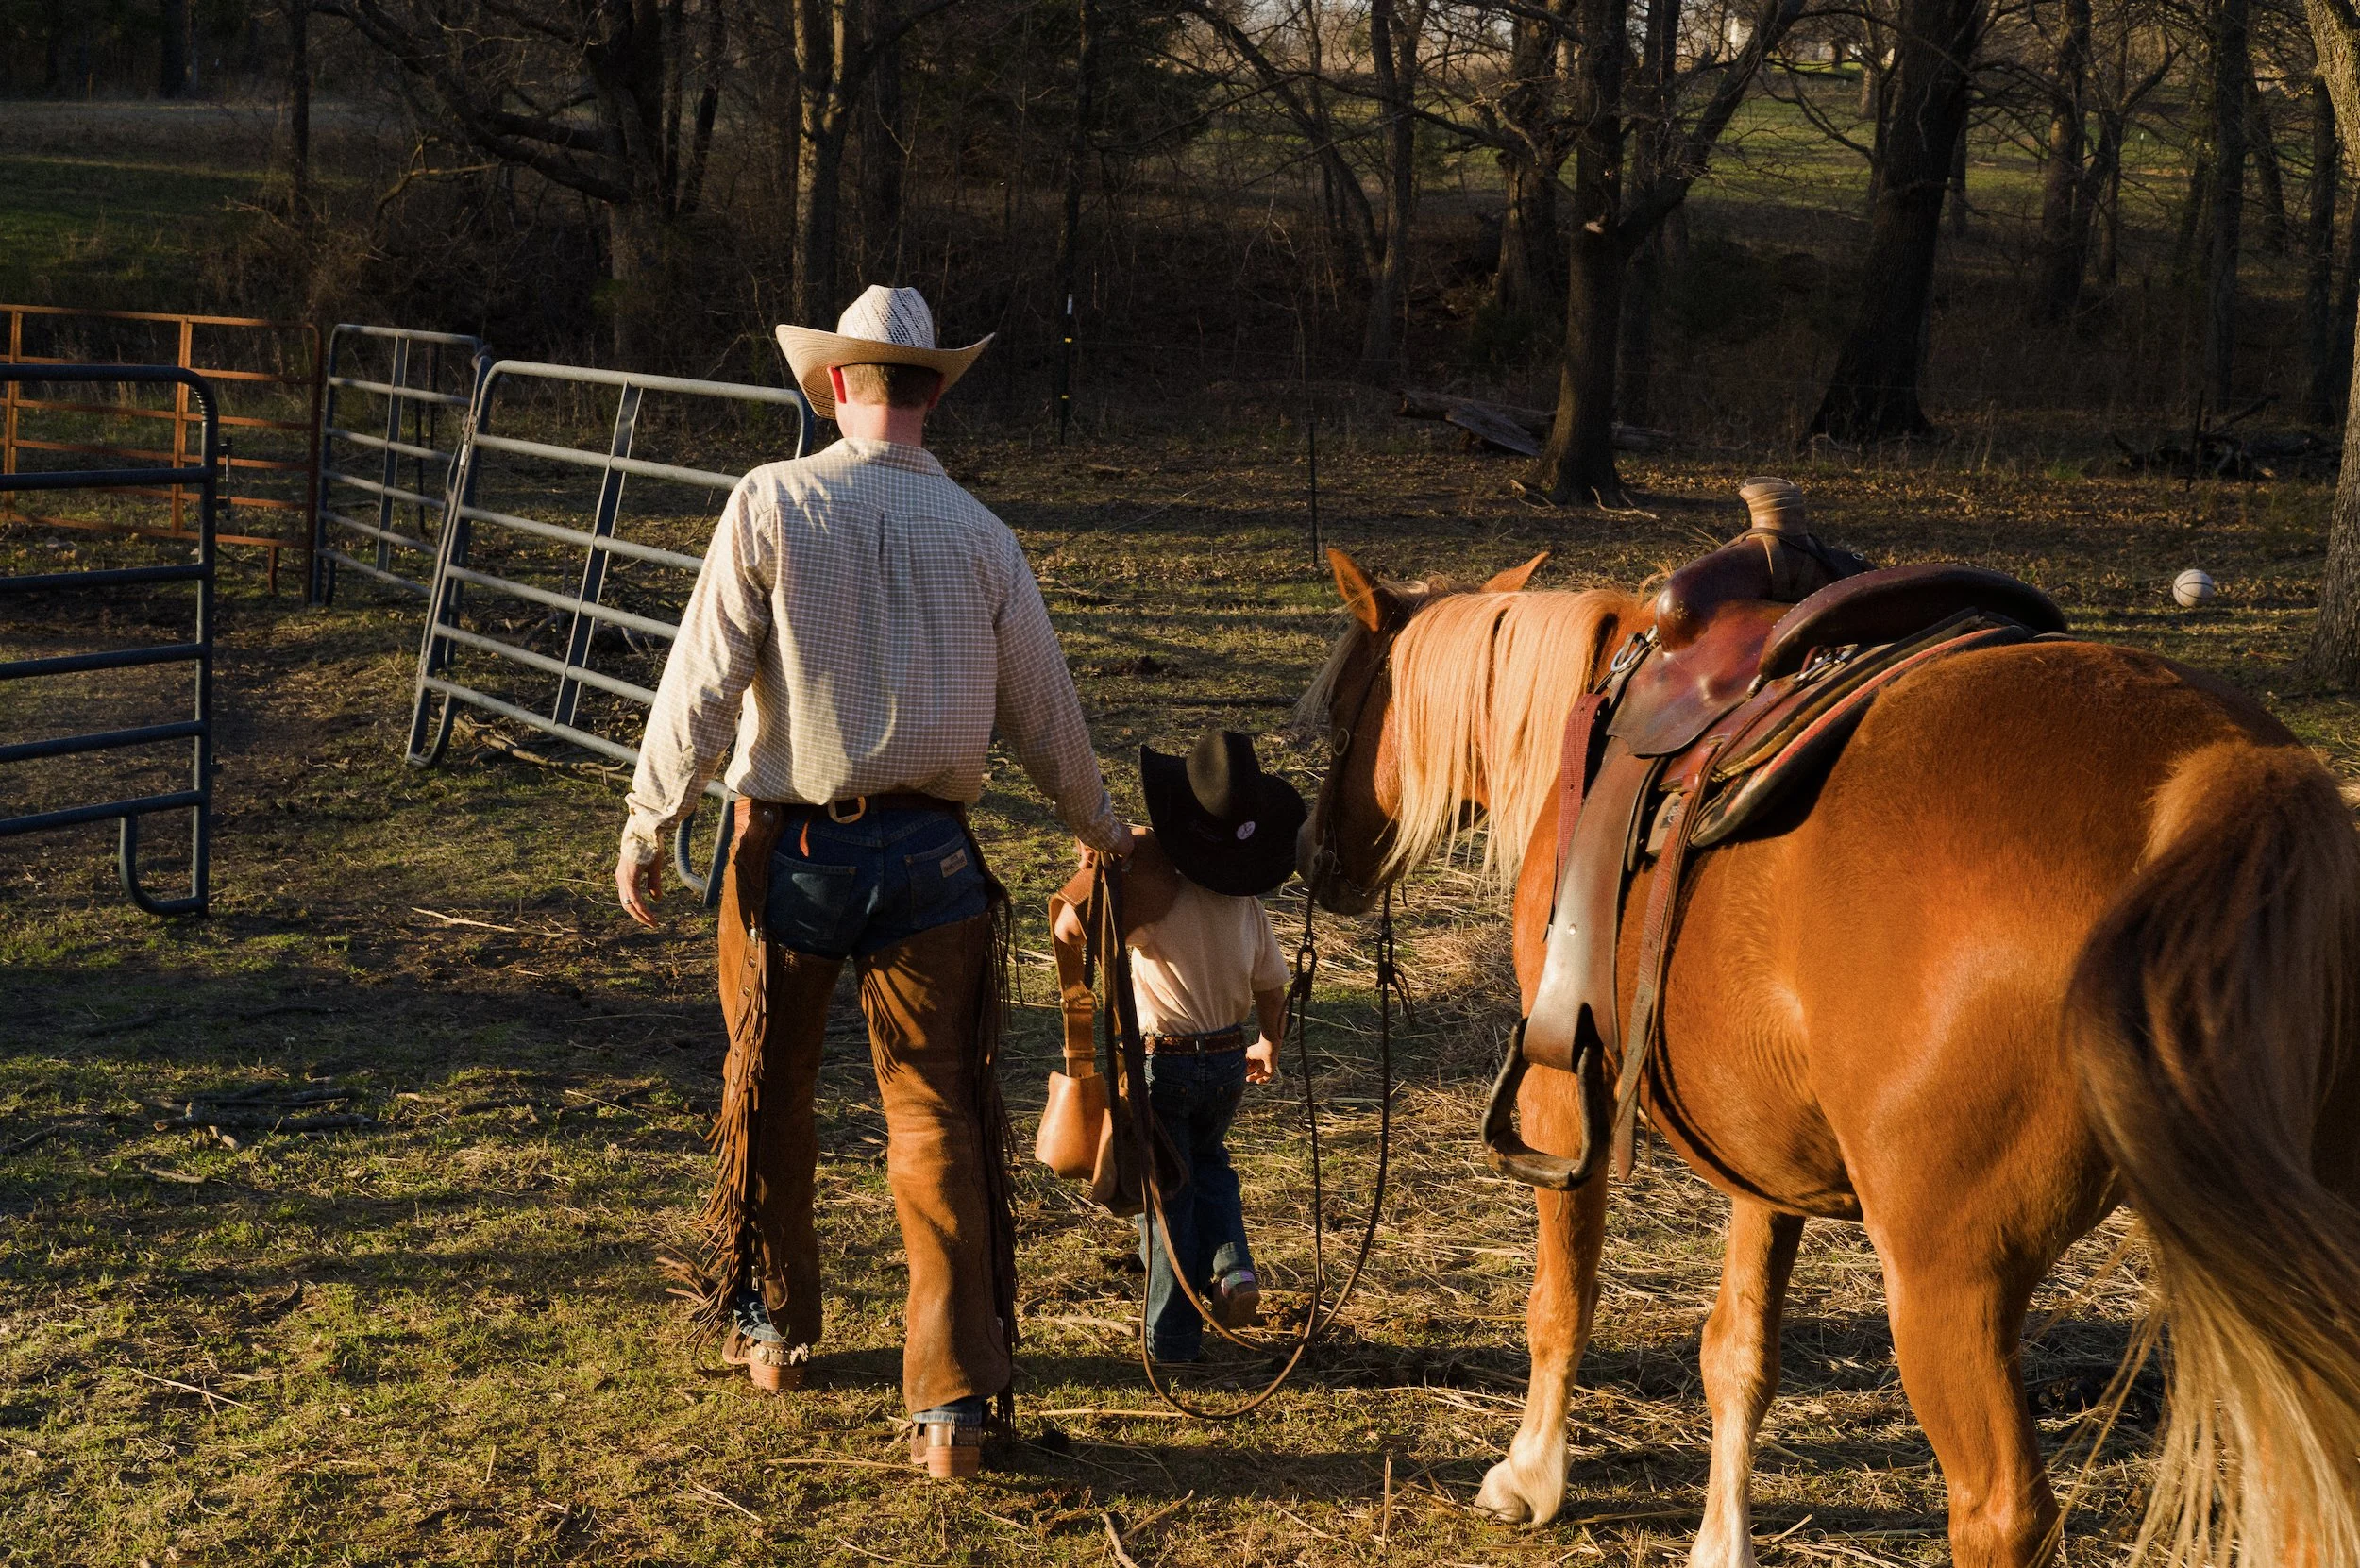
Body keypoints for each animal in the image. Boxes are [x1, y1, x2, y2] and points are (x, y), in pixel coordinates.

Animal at [1295, 546, 2360, 1568]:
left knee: (2001, 1512)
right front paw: (1721, 1540)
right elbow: (1739, 1349)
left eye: (1338, 717)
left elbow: (1562, 1297)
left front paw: (1529, 1477)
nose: (1314, 859)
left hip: (1948, 1282)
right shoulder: (1761, 1159)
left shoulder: (1563, 1093)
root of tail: (2222, 772)